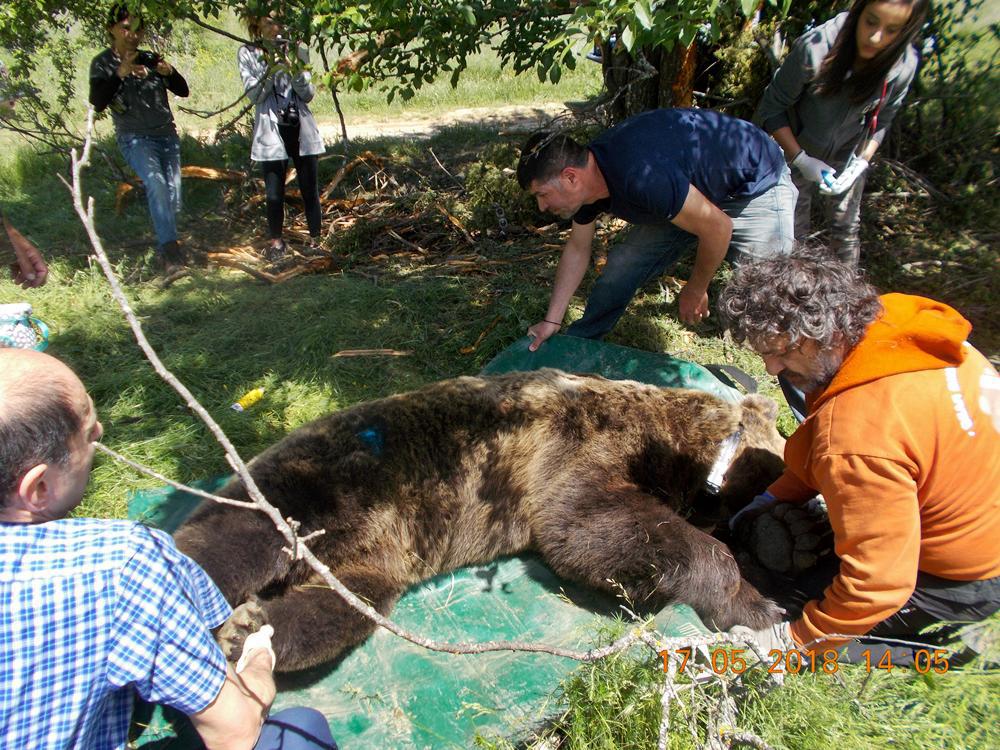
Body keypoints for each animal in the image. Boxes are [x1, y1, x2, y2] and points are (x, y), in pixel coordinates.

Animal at [178, 368, 788, 672]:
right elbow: (589, 526)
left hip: (369, 559)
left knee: (336, 612)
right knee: (231, 544)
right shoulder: (575, 450)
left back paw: (248, 628)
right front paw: (756, 602)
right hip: (311, 486)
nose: (752, 535)